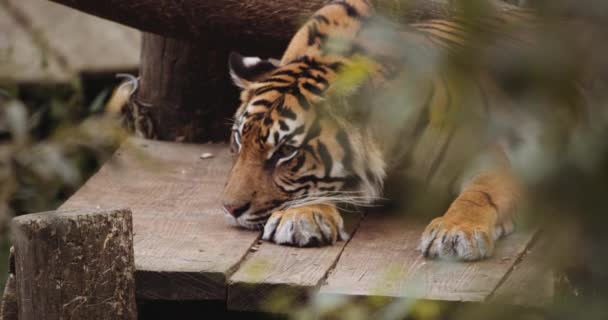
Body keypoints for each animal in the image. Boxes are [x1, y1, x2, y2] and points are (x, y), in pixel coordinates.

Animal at [221, 0, 560, 260]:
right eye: (239, 139)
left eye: (286, 152)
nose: (230, 209)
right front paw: (301, 217)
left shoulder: (490, 158)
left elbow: (480, 194)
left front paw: (455, 233)